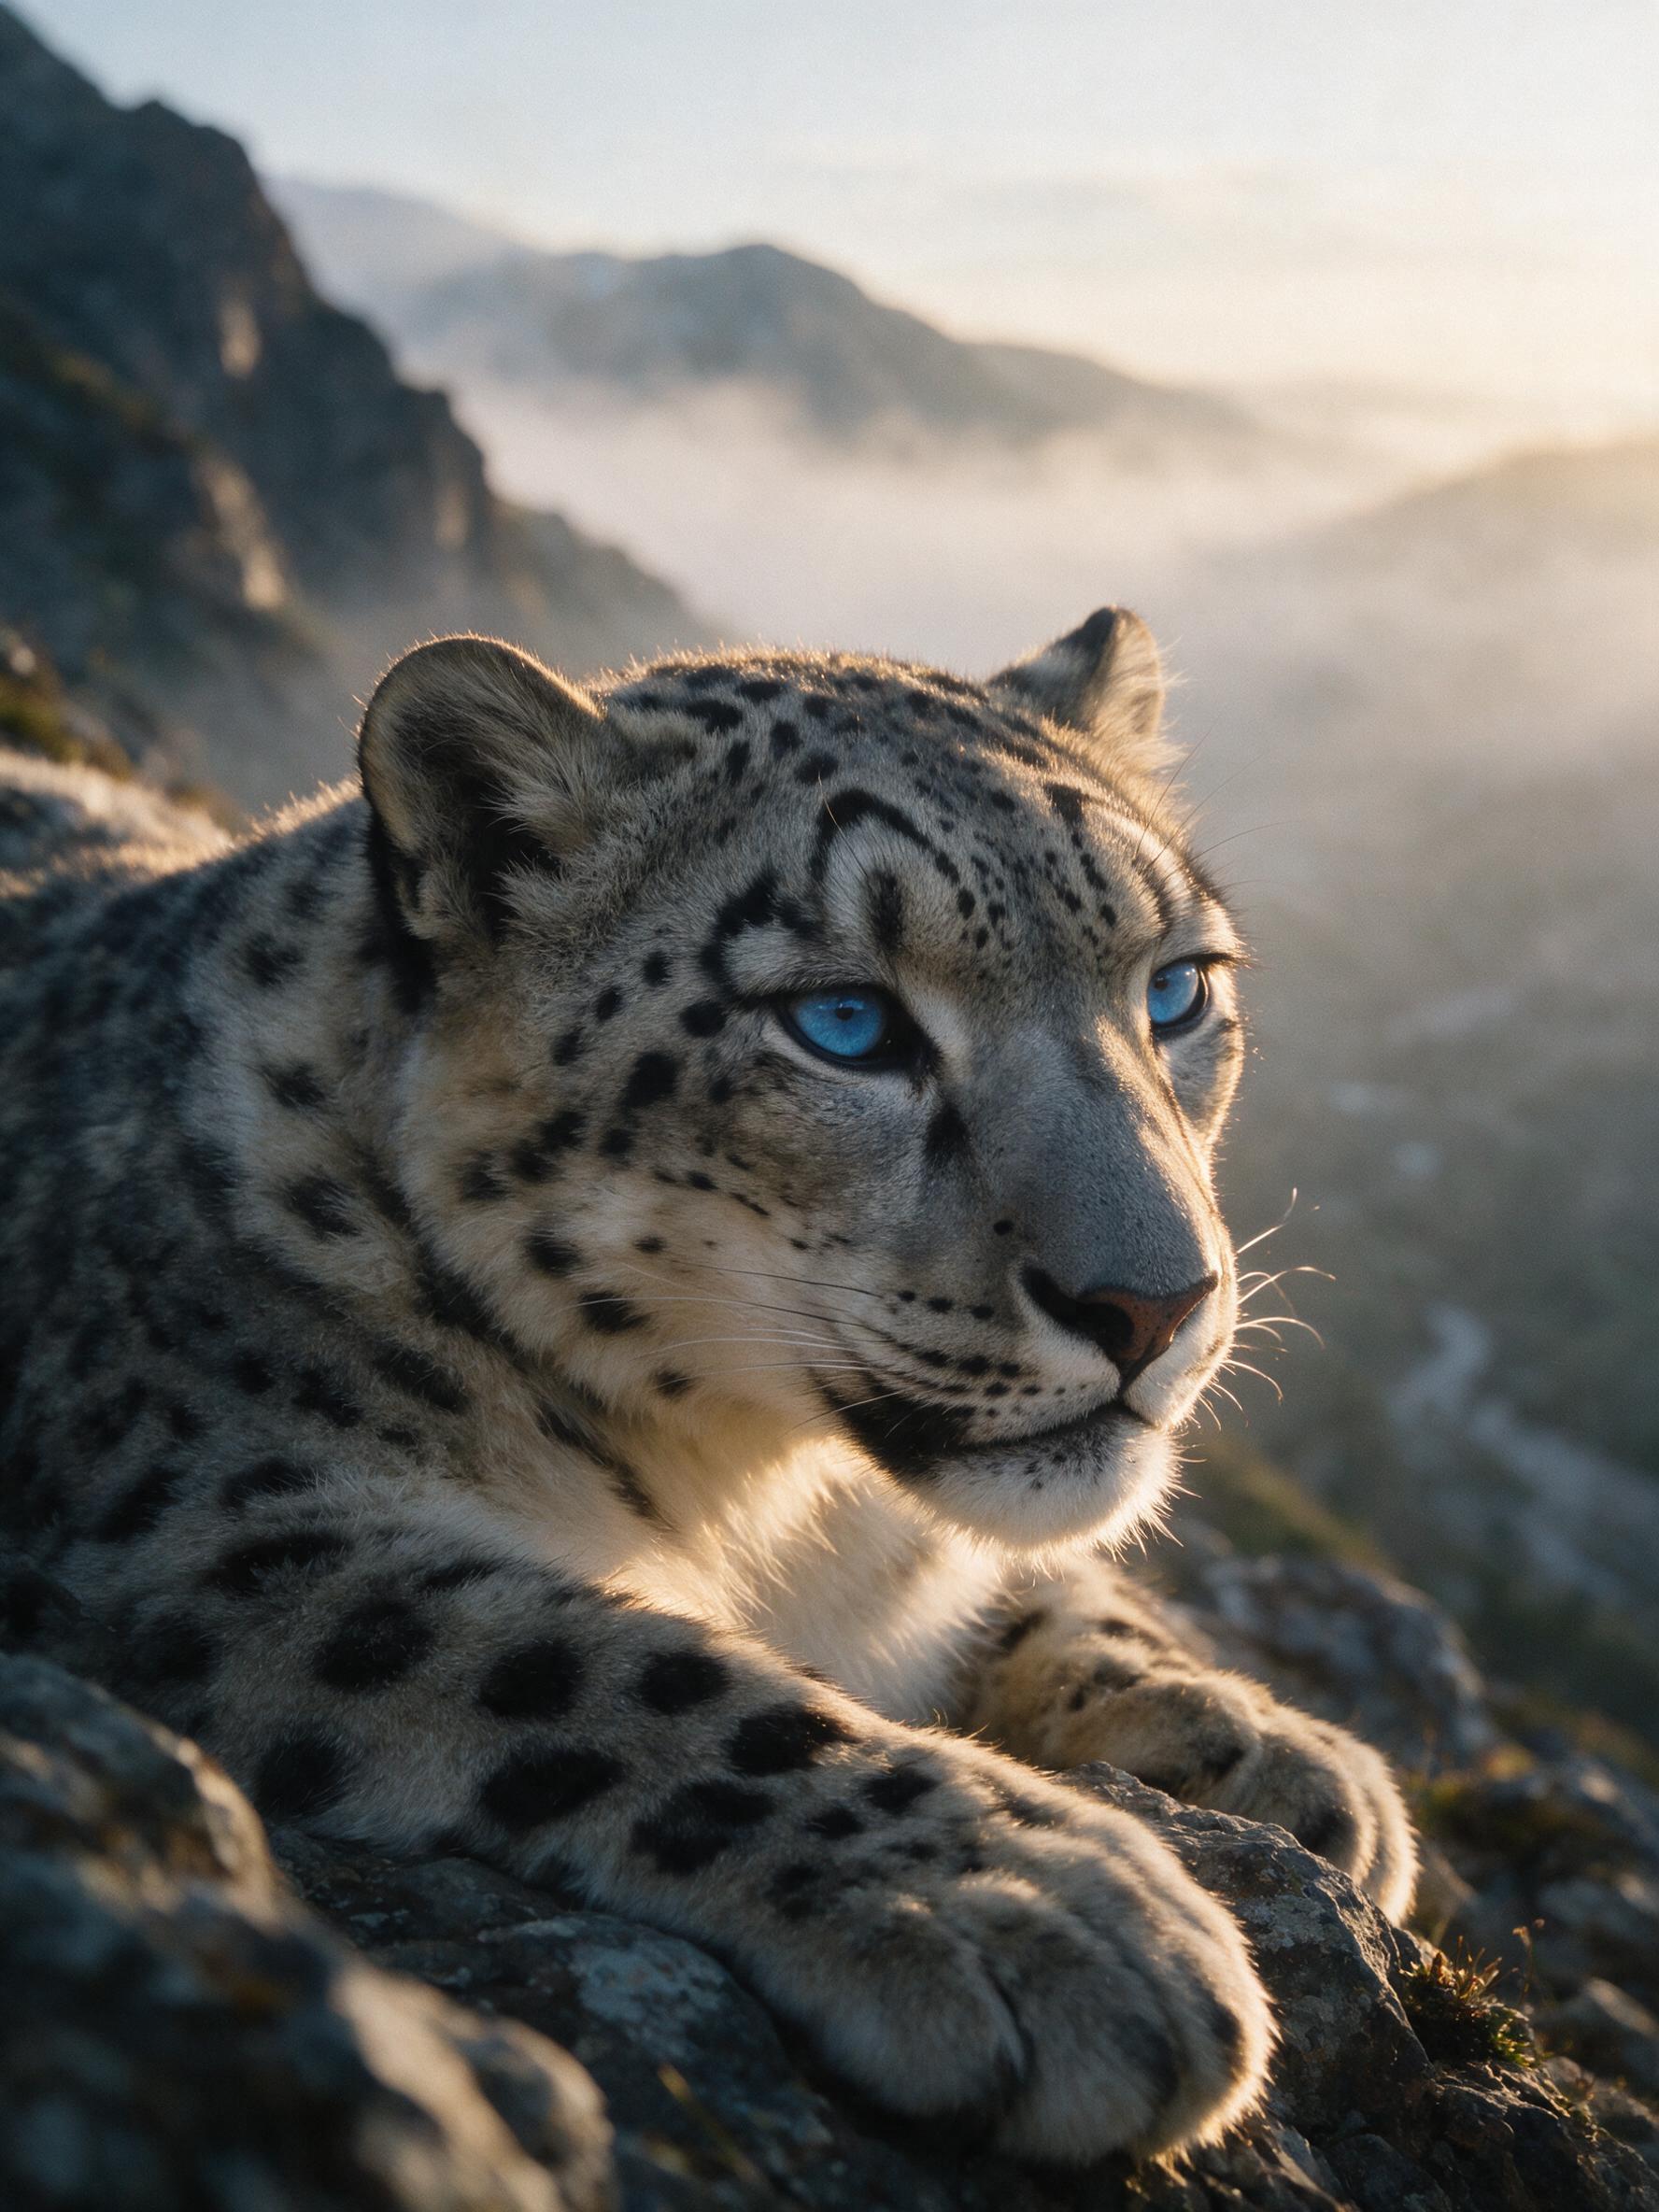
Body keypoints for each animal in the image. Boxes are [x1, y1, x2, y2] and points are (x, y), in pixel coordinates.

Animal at [0, 608, 1415, 2165]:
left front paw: (1267, 1745)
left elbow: (1038, 1582)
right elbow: (607, 1663)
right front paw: (1046, 1905)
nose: (1157, 1305)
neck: (773, 1499)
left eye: (1177, 990)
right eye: (847, 1023)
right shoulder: (197, 1545)